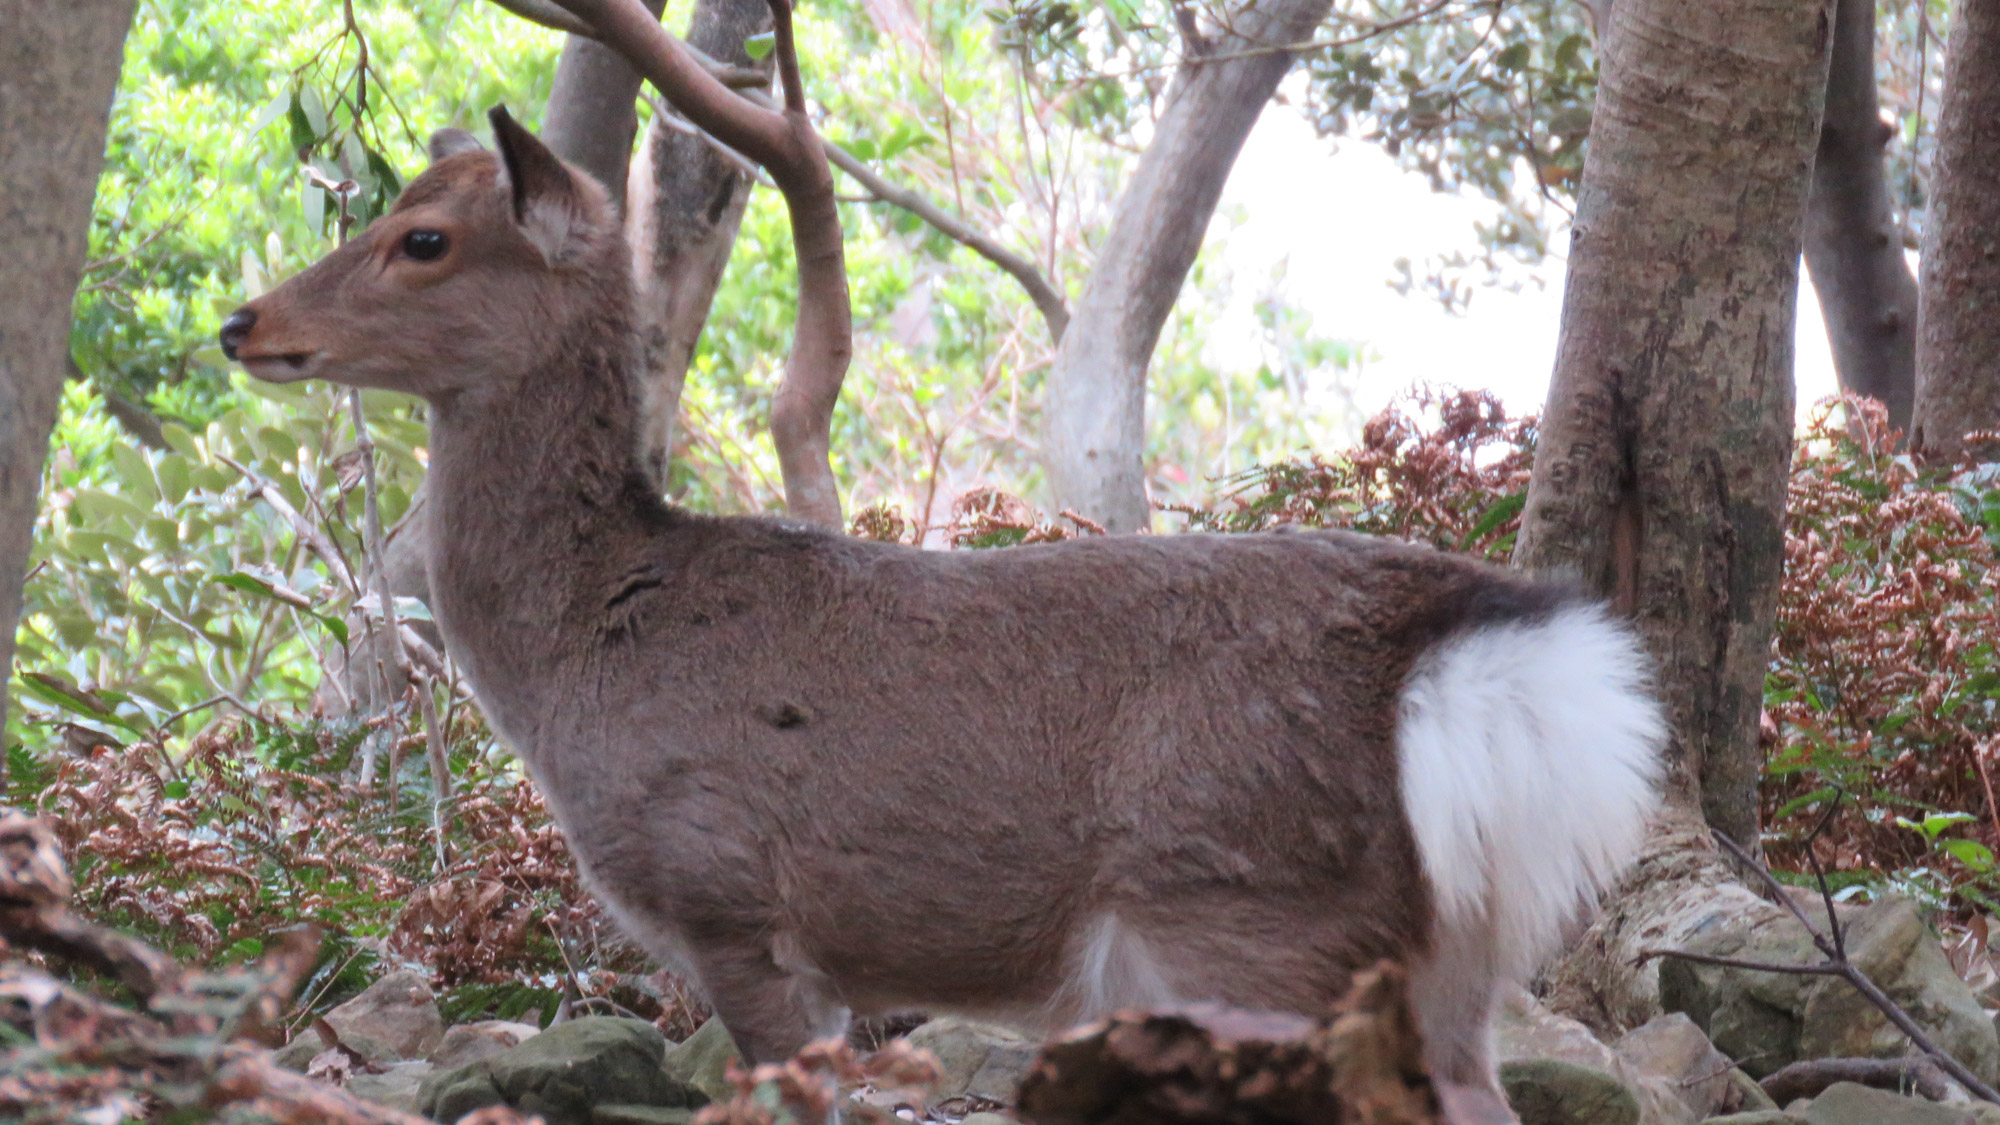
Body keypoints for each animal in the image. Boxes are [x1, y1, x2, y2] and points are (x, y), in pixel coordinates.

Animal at [219, 107, 1664, 1120]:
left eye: (422, 240)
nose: (243, 322)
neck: (589, 649)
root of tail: (1481, 657)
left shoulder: (732, 899)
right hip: (1446, 957)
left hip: (1249, 911)